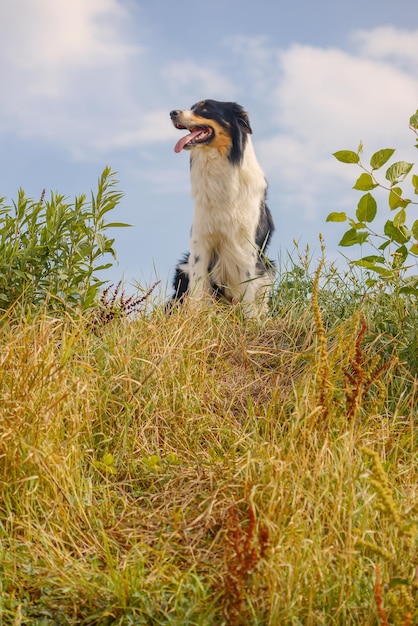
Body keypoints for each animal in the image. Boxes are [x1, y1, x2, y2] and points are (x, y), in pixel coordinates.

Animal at [168, 99, 276, 314]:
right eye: (191, 107)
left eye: (205, 108)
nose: (172, 113)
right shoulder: (201, 241)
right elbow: (198, 287)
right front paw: (195, 315)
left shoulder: (247, 245)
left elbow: (247, 288)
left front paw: (248, 318)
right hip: (184, 266)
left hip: (268, 269)